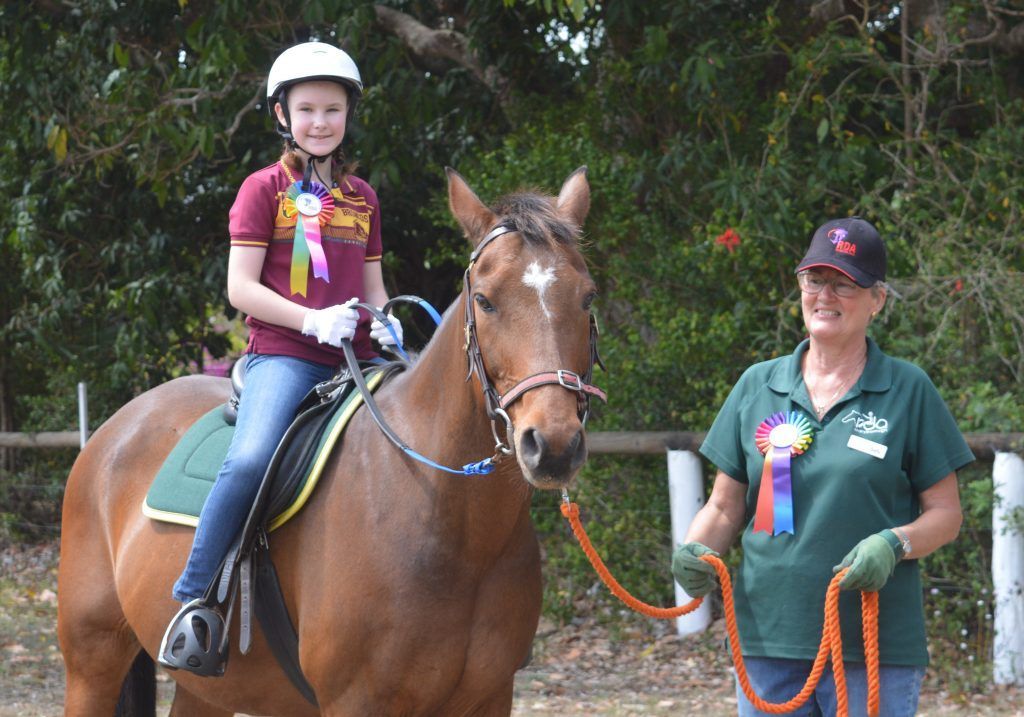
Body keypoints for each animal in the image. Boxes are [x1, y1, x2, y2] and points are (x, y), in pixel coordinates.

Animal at [57, 166, 601, 716]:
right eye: (486, 301)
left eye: (587, 297)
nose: (552, 444)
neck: (448, 520)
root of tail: (116, 427)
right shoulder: (354, 700)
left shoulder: (490, 697)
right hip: (92, 662)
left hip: (205, 690)